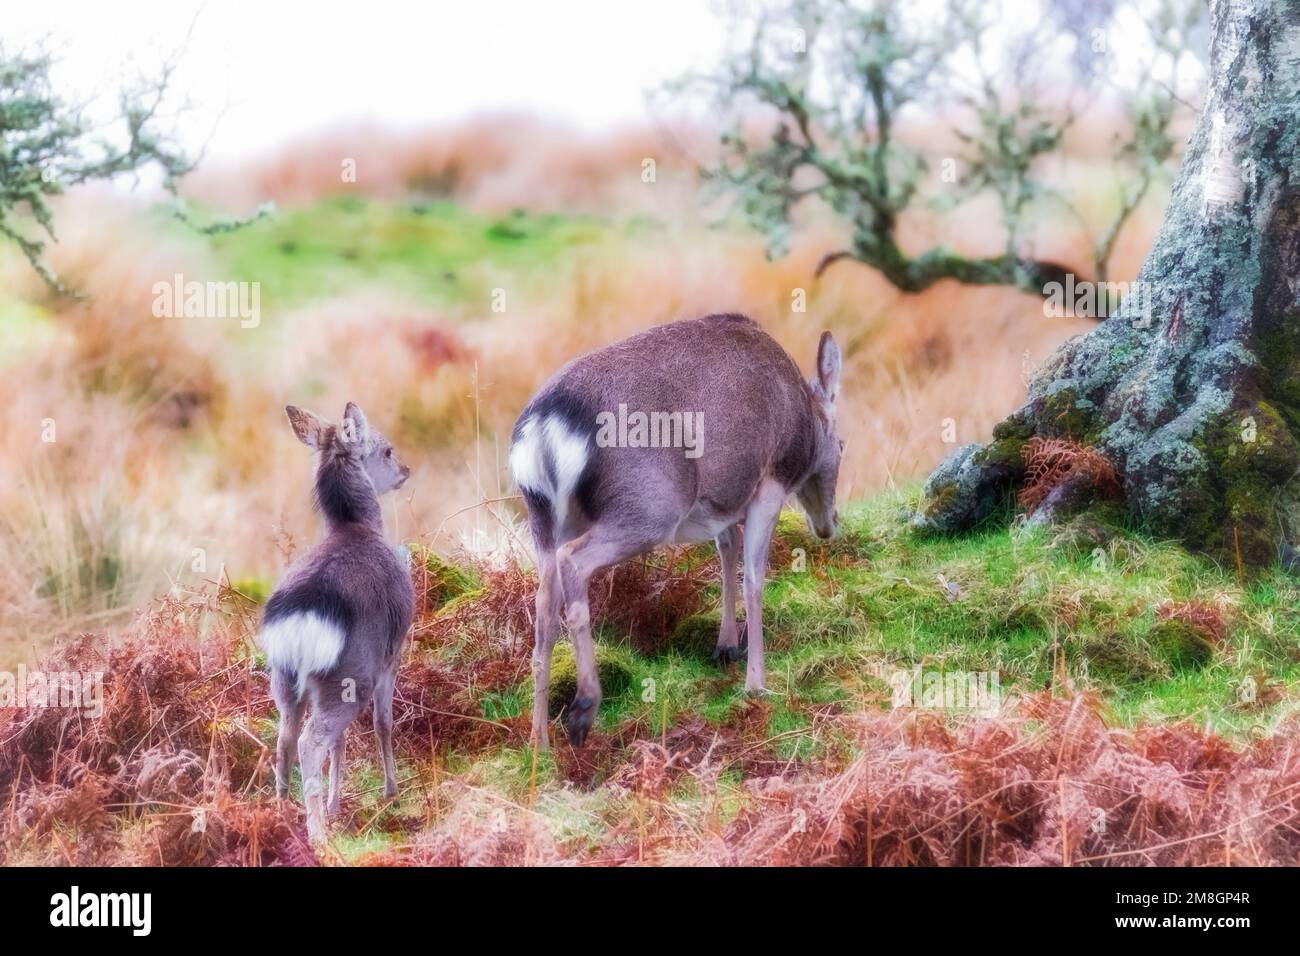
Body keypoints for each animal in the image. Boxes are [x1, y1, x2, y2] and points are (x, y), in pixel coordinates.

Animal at [259, 402, 414, 842]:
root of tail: (300, 622)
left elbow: (342, 743)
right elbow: (383, 723)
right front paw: (392, 791)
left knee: (285, 739)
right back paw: (318, 835)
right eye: (386, 449)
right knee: (311, 743)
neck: (357, 526)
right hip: (350, 676)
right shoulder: (392, 654)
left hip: (284, 680)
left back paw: (282, 812)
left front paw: (335, 804)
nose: (405, 470)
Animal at [510, 313, 843, 750]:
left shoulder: (720, 505)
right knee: (575, 563)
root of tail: (542, 428)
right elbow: (754, 579)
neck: (804, 423)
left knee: (543, 606)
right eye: (843, 445)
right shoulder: (769, 482)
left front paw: (725, 647)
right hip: (649, 507)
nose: (829, 524)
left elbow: (727, 554)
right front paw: (756, 682)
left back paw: (539, 740)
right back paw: (584, 707)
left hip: (543, 518)